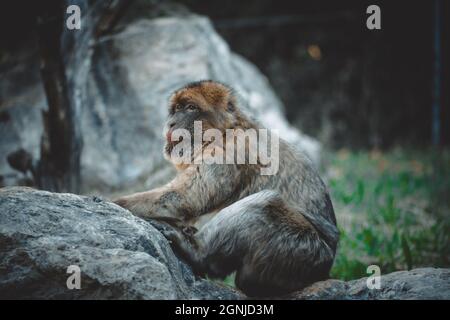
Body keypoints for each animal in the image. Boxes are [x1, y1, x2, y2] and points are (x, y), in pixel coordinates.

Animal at [114, 80, 340, 298]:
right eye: (177, 108)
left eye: (191, 108)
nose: (171, 123)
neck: (225, 131)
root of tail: (324, 269)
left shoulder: (228, 152)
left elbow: (186, 198)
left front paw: (114, 203)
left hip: (298, 251)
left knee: (264, 204)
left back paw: (197, 253)